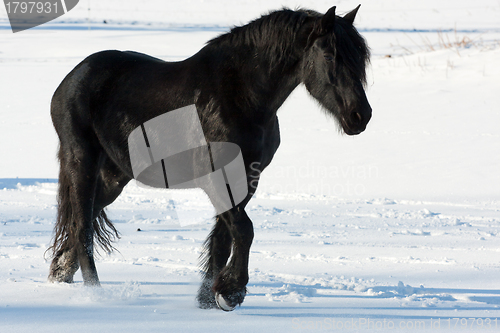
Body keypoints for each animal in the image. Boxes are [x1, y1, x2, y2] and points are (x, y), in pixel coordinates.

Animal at [47, 5, 372, 310]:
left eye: (360, 58)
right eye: (329, 56)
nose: (361, 116)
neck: (241, 97)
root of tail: (72, 78)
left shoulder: (248, 178)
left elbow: (223, 238)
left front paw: (210, 298)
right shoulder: (216, 178)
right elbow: (243, 230)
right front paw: (233, 291)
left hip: (114, 176)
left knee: (83, 221)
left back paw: (59, 274)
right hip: (82, 161)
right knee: (82, 228)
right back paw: (95, 294)